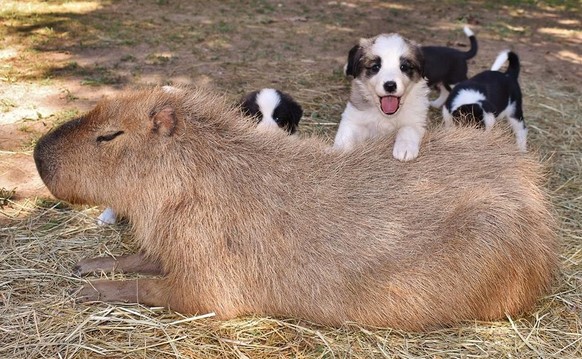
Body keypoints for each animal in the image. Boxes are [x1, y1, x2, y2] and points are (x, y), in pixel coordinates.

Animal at [336, 33, 432, 163]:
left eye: (404, 67)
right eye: (376, 67)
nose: (390, 85)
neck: (387, 116)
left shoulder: (417, 120)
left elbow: (407, 129)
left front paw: (405, 148)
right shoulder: (353, 119)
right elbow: (345, 137)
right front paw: (339, 151)